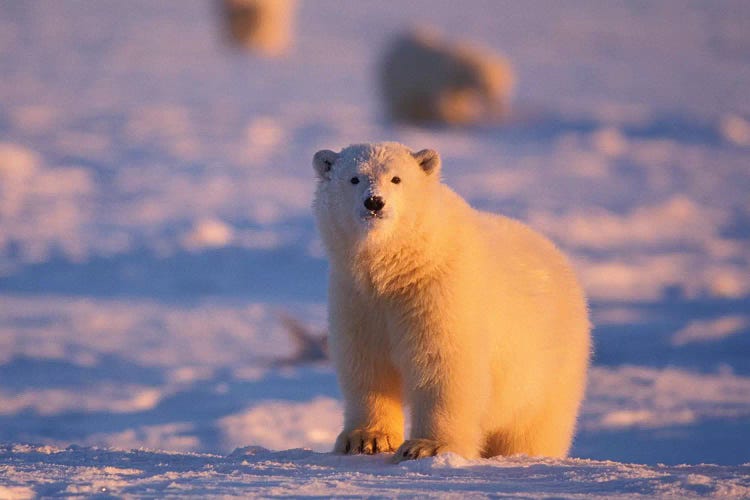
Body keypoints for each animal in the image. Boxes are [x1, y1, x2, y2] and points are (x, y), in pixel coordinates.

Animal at [312, 141, 592, 460]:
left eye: (396, 179)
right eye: (354, 178)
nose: (374, 202)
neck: (400, 265)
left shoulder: (440, 289)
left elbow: (443, 362)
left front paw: (427, 446)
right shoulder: (358, 297)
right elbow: (367, 364)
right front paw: (365, 439)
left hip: (548, 369)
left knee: (534, 428)